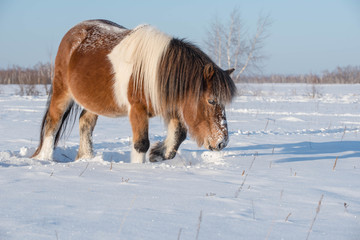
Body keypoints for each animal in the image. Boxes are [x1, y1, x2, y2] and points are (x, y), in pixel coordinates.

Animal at [31, 19, 236, 164]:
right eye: (211, 100)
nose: (222, 143)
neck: (153, 71)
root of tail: (73, 33)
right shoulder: (137, 110)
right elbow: (141, 144)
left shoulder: (173, 106)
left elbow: (178, 136)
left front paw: (157, 154)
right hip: (62, 92)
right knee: (52, 123)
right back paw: (45, 159)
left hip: (92, 101)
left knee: (85, 123)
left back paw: (86, 158)